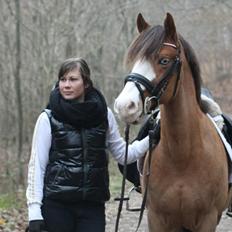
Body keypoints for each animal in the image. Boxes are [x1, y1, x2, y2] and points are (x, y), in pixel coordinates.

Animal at [113, 13, 229, 232]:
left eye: (164, 60)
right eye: (135, 60)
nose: (124, 106)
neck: (182, 156)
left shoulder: (208, 219)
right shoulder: (157, 219)